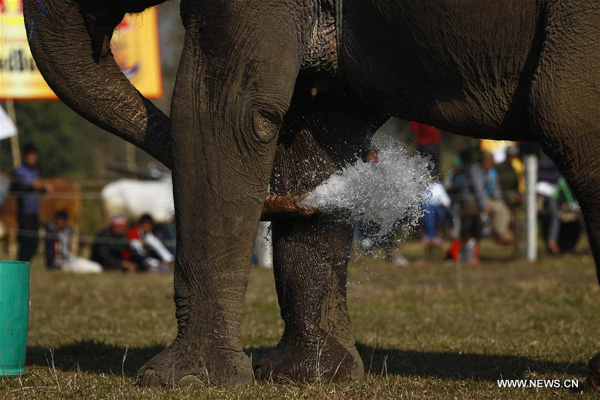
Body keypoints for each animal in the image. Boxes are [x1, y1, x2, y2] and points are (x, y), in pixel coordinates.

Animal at [23, 0, 600, 390]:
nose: (284, 200)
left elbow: (228, 116)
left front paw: (180, 382)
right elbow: (320, 131)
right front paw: (307, 377)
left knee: (570, 119)